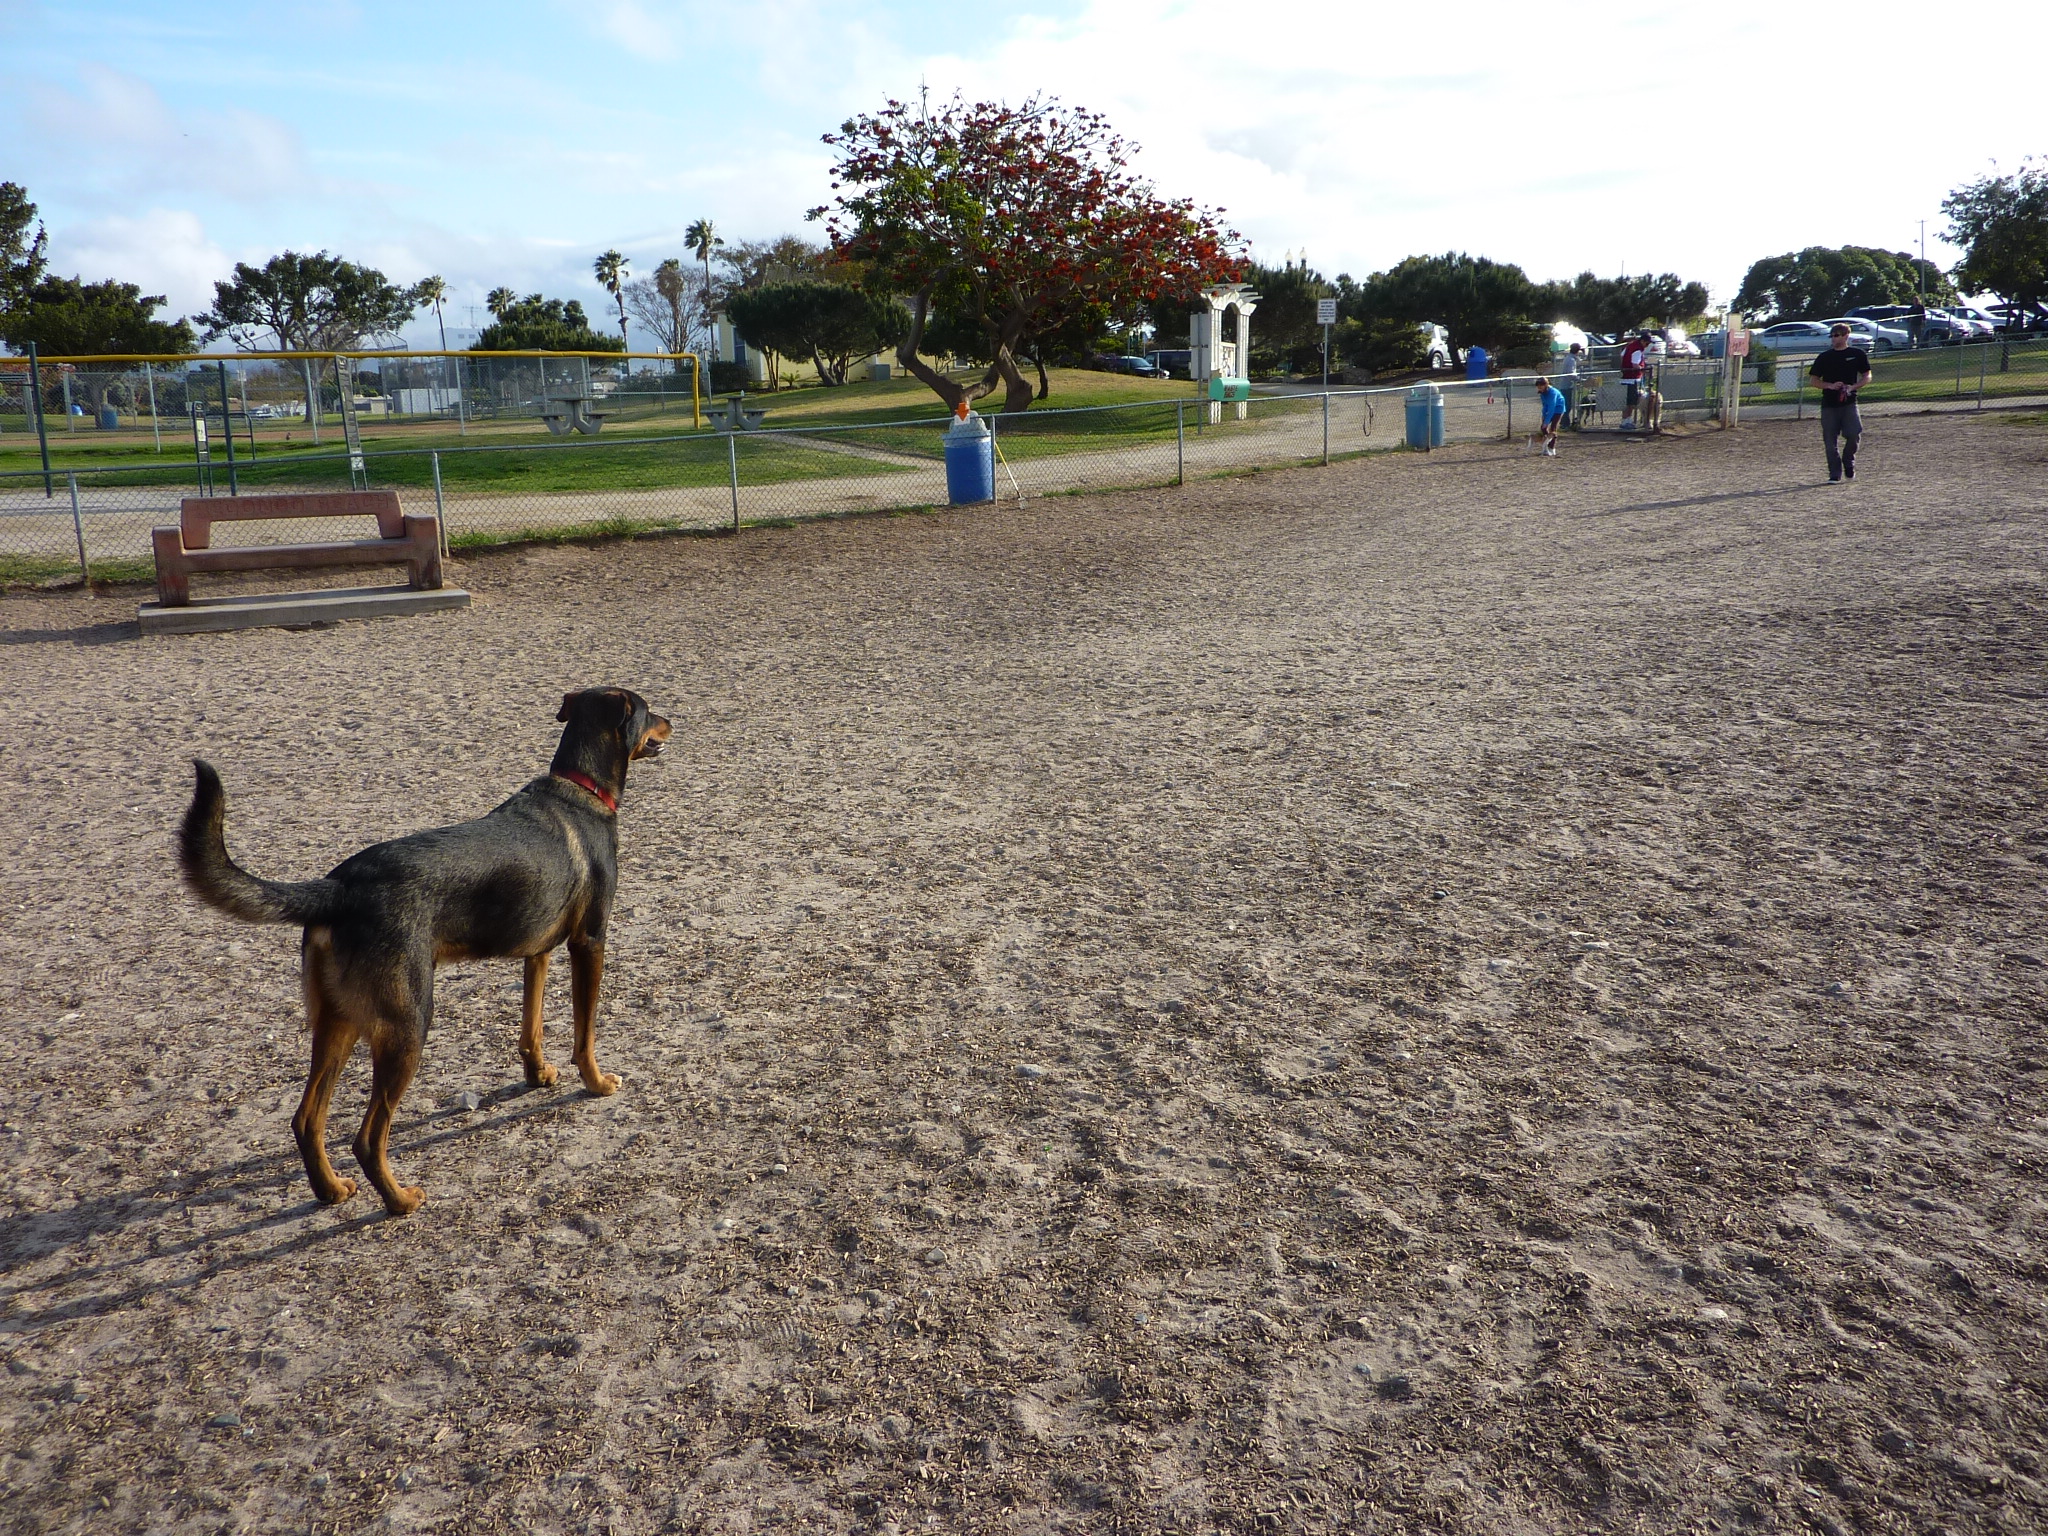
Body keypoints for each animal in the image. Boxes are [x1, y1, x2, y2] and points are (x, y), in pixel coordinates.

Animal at [177, 692, 671, 1220]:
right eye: (648, 710)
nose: (672, 721)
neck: (580, 788)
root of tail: (338, 888)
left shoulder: (536, 953)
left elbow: (531, 1028)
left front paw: (538, 1075)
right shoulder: (590, 942)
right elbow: (585, 1034)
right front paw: (596, 1083)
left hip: (338, 1024)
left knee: (307, 1119)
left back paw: (330, 1190)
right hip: (408, 1025)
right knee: (368, 1138)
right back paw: (400, 1200)